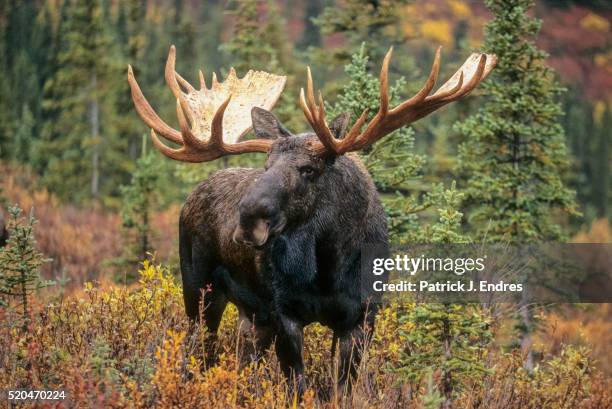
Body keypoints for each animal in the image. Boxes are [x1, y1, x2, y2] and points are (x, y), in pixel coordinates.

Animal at [126, 46, 494, 394]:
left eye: (308, 169)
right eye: (266, 165)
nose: (246, 222)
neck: (330, 265)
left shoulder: (362, 317)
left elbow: (340, 390)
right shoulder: (283, 314)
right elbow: (298, 388)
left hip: (251, 314)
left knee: (242, 361)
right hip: (199, 289)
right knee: (197, 355)